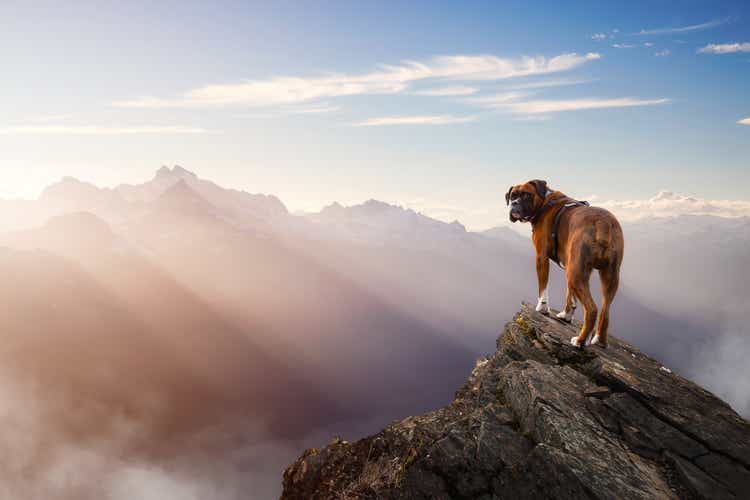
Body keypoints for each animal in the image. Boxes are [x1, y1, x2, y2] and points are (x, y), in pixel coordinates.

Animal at [508, 180, 624, 348]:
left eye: (526, 194)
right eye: (512, 196)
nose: (514, 203)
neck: (544, 202)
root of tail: (602, 223)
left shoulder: (541, 257)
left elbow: (543, 287)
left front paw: (542, 307)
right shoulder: (572, 265)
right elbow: (570, 294)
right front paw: (566, 315)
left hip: (576, 275)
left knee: (592, 309)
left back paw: (581, 341)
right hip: (608, 275)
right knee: (605, 310)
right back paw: (599, 340)